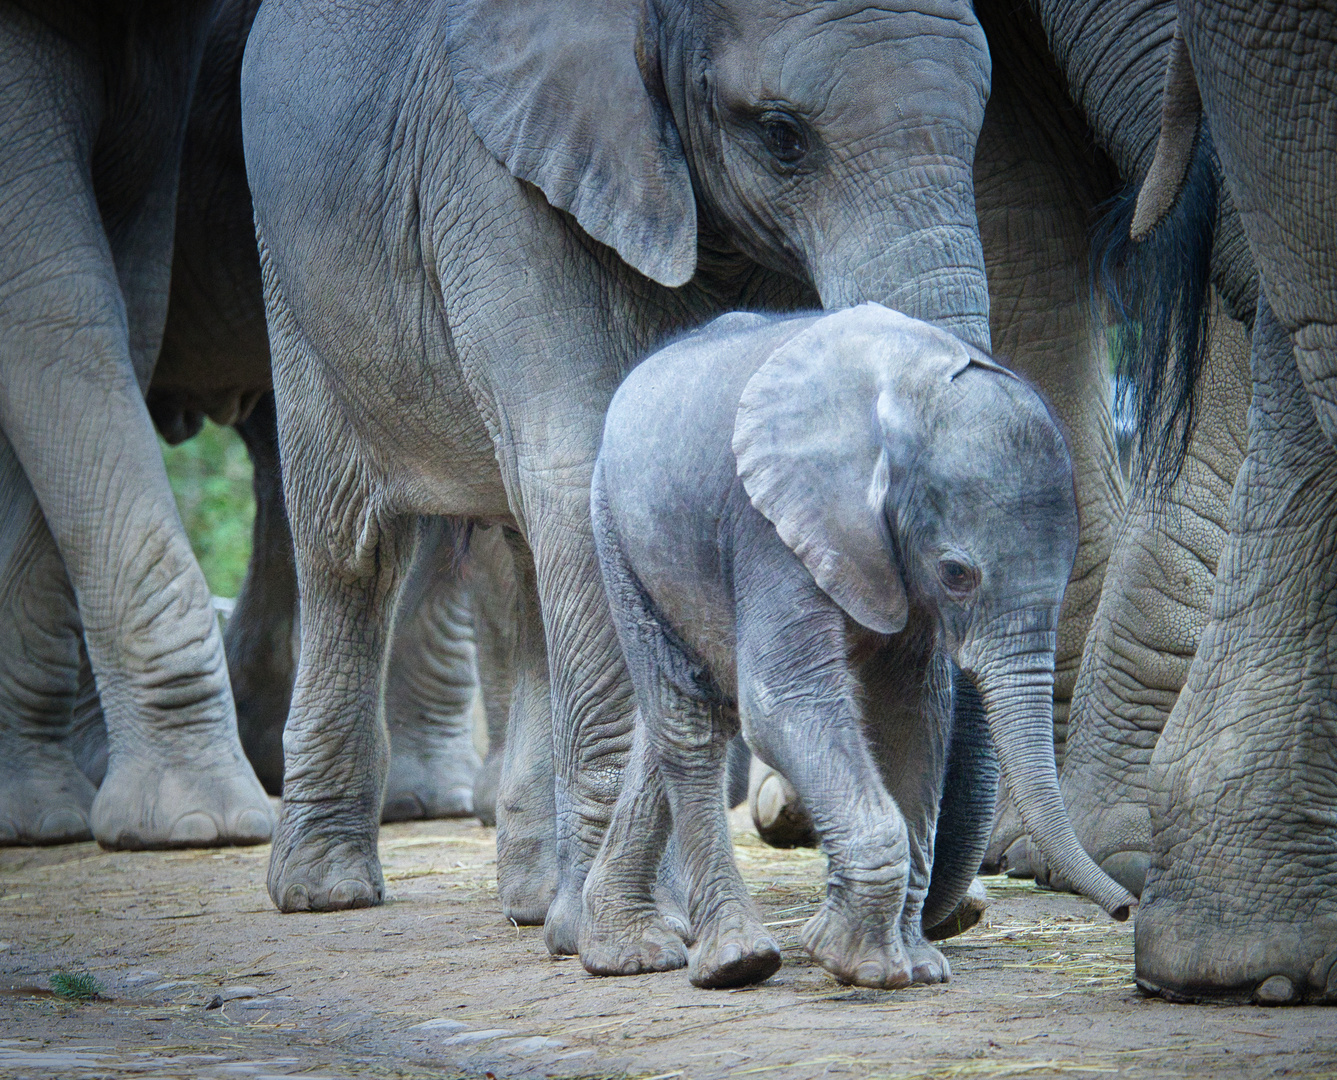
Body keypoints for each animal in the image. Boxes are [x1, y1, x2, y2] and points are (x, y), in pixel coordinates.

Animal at [240, 0, 1005, 951]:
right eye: (783, 137)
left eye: (977, 127)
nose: (950, 915)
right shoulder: (495, 185)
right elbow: (582, 466)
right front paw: (634, 937)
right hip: (295, 281)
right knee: (351, 549)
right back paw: (329, 891)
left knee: (524, 567)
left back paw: (536, 902)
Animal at [580, 302, 1133, 989]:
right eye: (956, 573)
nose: (1126, 910)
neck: (907, 381)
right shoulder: (774, 524)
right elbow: (786, 704)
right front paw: (852, 961)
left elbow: (910, 718)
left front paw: (918, 968)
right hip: (614, 526)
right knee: (689, 722)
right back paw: (735, 963)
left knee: (695, 710)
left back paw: (623, 953)